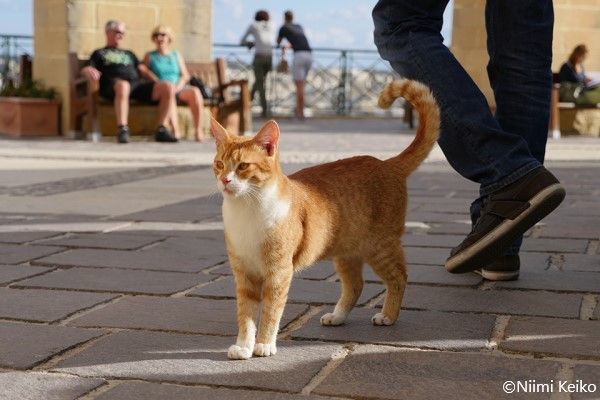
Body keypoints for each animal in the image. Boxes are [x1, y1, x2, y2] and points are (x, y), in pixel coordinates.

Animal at [212, 78, 440, 360]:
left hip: (380, 247)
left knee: (399, 276)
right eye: (219, 164)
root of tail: (387, 164)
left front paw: (264, 344)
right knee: (355, 285)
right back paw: (338, 316)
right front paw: (244, 346)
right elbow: (245, 314)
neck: (247, 210)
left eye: (243, 166)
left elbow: (271, 312)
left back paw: (388, 315)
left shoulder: (279, 273)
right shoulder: (244, 273)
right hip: (346, 253)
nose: (225, 180)